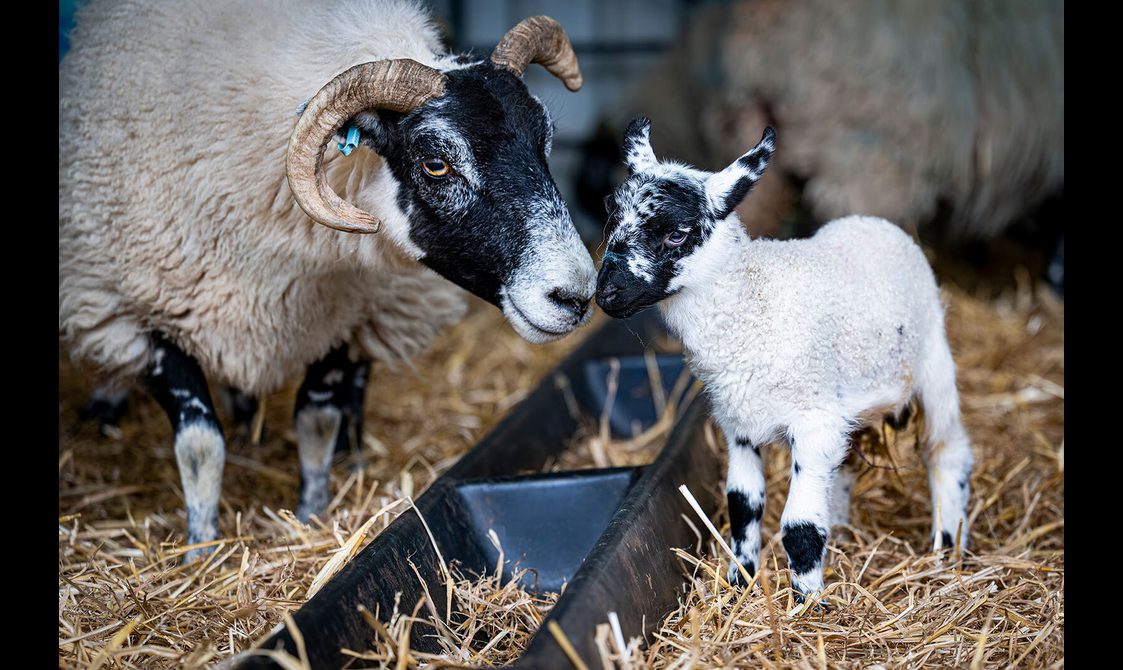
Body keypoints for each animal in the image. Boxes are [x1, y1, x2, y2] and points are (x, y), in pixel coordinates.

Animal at [59, 0, 597, 560]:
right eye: (436, 164)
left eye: (545, 142)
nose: (576, 296)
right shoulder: (140, 315)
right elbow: (201, 444)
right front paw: (201, 551)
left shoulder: (348, 317)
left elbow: (316, 421)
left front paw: (312, 515)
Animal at [595, 118, 973, 603]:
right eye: (612, 214)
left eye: (676, 232)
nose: (606, 294)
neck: (754, 302)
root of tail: (871, 221)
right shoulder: (737, 424)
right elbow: (742, 506)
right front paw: (739, 585)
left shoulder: (814, 424)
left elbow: (800, 526)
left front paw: (807, 605)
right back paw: (845, 532)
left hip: (932, 362)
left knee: (947, 451)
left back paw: (947, 549)